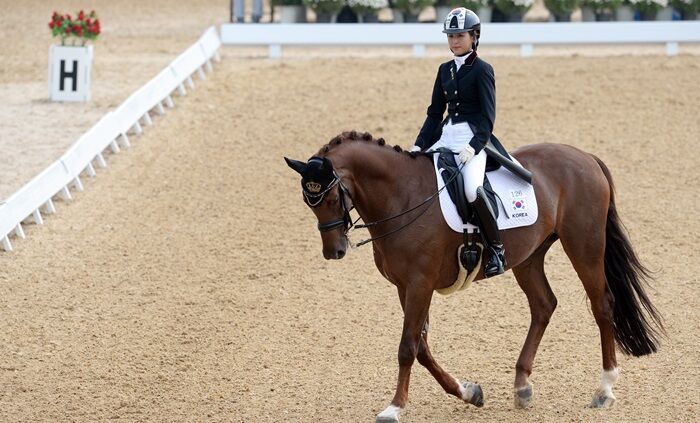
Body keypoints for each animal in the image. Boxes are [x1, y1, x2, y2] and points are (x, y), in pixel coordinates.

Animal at [284, 131, 660, 422]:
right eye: (308, 200)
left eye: (332, 195)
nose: (334, 251)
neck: (401, 195)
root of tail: (585, 156)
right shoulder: (406, 287)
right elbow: (422, 347)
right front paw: (469, 392)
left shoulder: (419, 284)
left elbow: (407, 347)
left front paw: (394, 408)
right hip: (529, 257)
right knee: (544, 306)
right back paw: (522, 387)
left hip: (584, 244)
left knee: (602, 305)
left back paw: (605, 389)